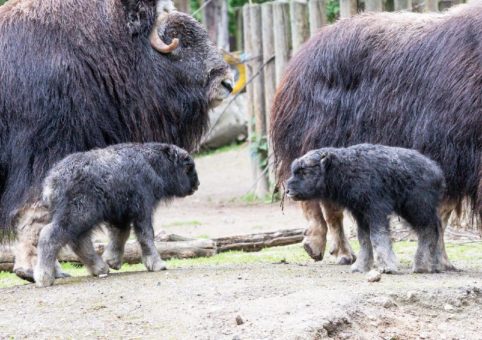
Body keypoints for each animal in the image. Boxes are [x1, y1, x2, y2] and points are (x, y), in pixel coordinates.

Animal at [34, 143, 198, 286]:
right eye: (188, 166)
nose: (197, 184)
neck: (152, 164)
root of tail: (51, 182)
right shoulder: (142, 209)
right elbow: (145, 235)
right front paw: (157, 264)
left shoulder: (120, 215)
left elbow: (121, 234)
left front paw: (112, 261)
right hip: (78, 214)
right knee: (51, 236)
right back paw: (44, 277)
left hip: (81, 217)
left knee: (79, 241)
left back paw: (100, 268)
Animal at [284, 143, 450, 274]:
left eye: (305, 172)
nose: (287, 190)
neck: (345, 169)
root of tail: (437, 171)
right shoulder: (361, 214)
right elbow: (364, 239)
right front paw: (361, 267)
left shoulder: (376, 210)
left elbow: (377, 237)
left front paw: (386, 267)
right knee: (435, 229)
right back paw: (435, 265)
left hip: (416, 208)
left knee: (428, 231)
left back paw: (421, 266)